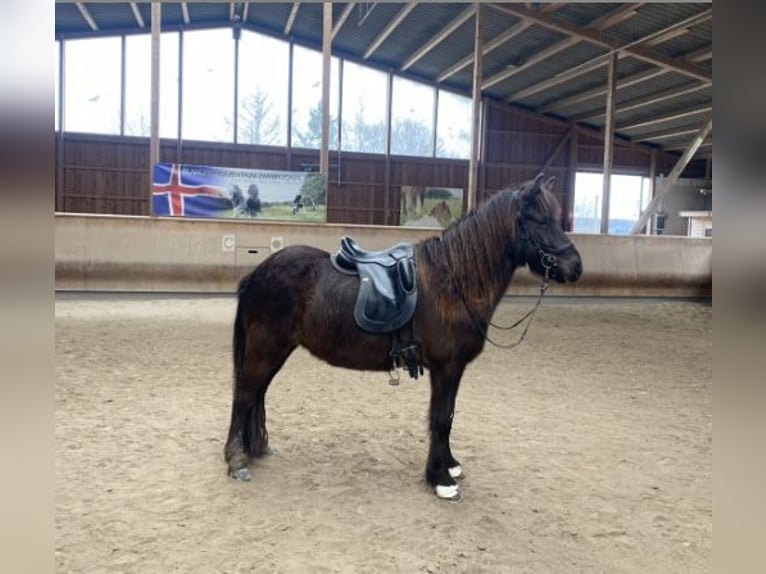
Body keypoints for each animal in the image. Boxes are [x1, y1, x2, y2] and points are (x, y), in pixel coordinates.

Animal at [225, 173, 584, 502]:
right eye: (540, 220)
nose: (575, 267)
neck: (453, 283)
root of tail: (256, 274)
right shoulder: (446, 368)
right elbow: (441, 418)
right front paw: (440, 479)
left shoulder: (452, 370)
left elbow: (449, 415)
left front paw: (449, 465)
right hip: (266, 349)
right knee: (244, 394)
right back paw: (236, 460)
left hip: (277, 351)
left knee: (256, 394)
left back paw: (255, 449)